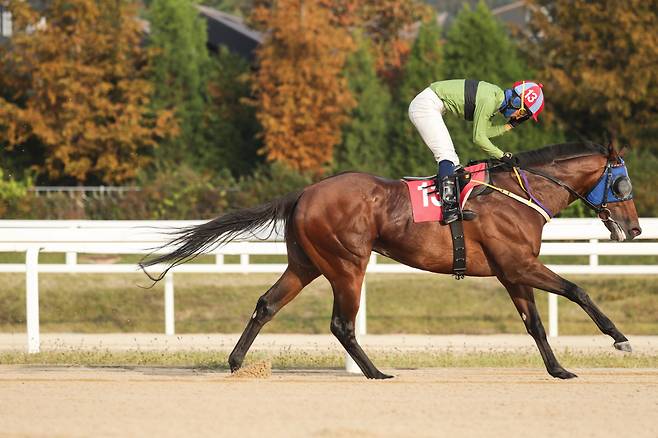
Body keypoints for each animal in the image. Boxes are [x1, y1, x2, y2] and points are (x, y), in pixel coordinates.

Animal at [141, 142, 640, 378]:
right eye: (621, 185)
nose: (635, 230)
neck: (518, 193)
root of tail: (304, 192)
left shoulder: (511, 272)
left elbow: (534, 324)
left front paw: (559, 369)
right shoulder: (519, 266)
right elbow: (578, 289)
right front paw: (619, 338)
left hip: (306, 263)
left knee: (267, 304)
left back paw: (235, 361)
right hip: (347, 263)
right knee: (341, 324)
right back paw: (375, 372)